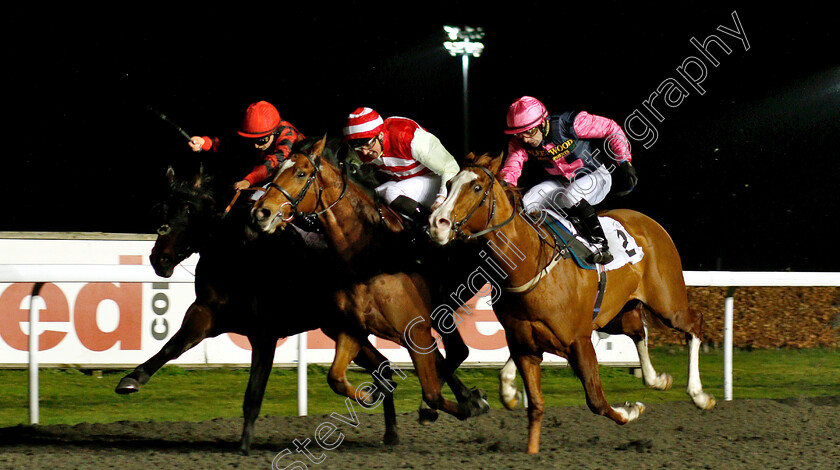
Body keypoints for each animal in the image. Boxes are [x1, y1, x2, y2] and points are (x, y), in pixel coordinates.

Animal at [115, 163, 404, 454]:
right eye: (161, 208)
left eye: (188, 210)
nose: (159, 259)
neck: (243, 256)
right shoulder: (206, 312)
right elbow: (173, 346)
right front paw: (132, 379)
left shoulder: (265, 333)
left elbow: (254, 393)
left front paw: (244, 446)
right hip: (337, 328)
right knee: (383, 367)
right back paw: (390, 432)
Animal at [253, 135, 492, 422]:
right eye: (277, 170)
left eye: (300, 173)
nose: (262, 212)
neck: (369, 255)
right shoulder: (352, 328)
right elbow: (336, 377)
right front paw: (372, 393)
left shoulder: (416, 330)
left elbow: (431, 387)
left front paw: (461, 404)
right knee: (455, 352)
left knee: (455, 352)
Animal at [434, 152, 716, 454]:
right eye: (449, 184)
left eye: (476, 188)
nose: (436, 222)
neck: (530, 263)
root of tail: (651, 223)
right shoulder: (524, 344)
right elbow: (536, 406)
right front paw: (529, 446)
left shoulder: (579, 341)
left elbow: (596, 400)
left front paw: (630, 411)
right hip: (614, 315)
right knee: (638, 331)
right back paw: (657, 380)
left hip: (666, 304)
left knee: (694, 323)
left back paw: (699, 395)